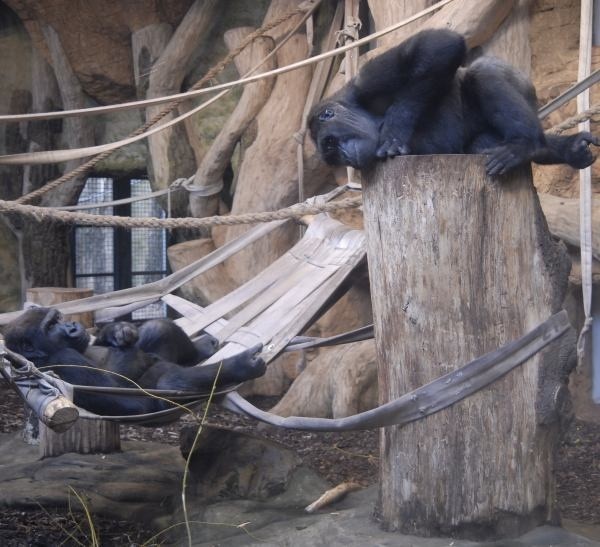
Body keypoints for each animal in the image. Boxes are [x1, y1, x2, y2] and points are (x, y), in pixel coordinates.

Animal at [310, 27, 600, 176]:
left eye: (331, 143)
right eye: (333, 156)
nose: (347, 157)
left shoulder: (366, 82)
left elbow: (436, 44)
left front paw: (396, 125)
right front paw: (569, 148)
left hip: (525, 89)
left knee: (483, 72)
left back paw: (525, 144)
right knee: (482, 145)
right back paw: (564, 149)